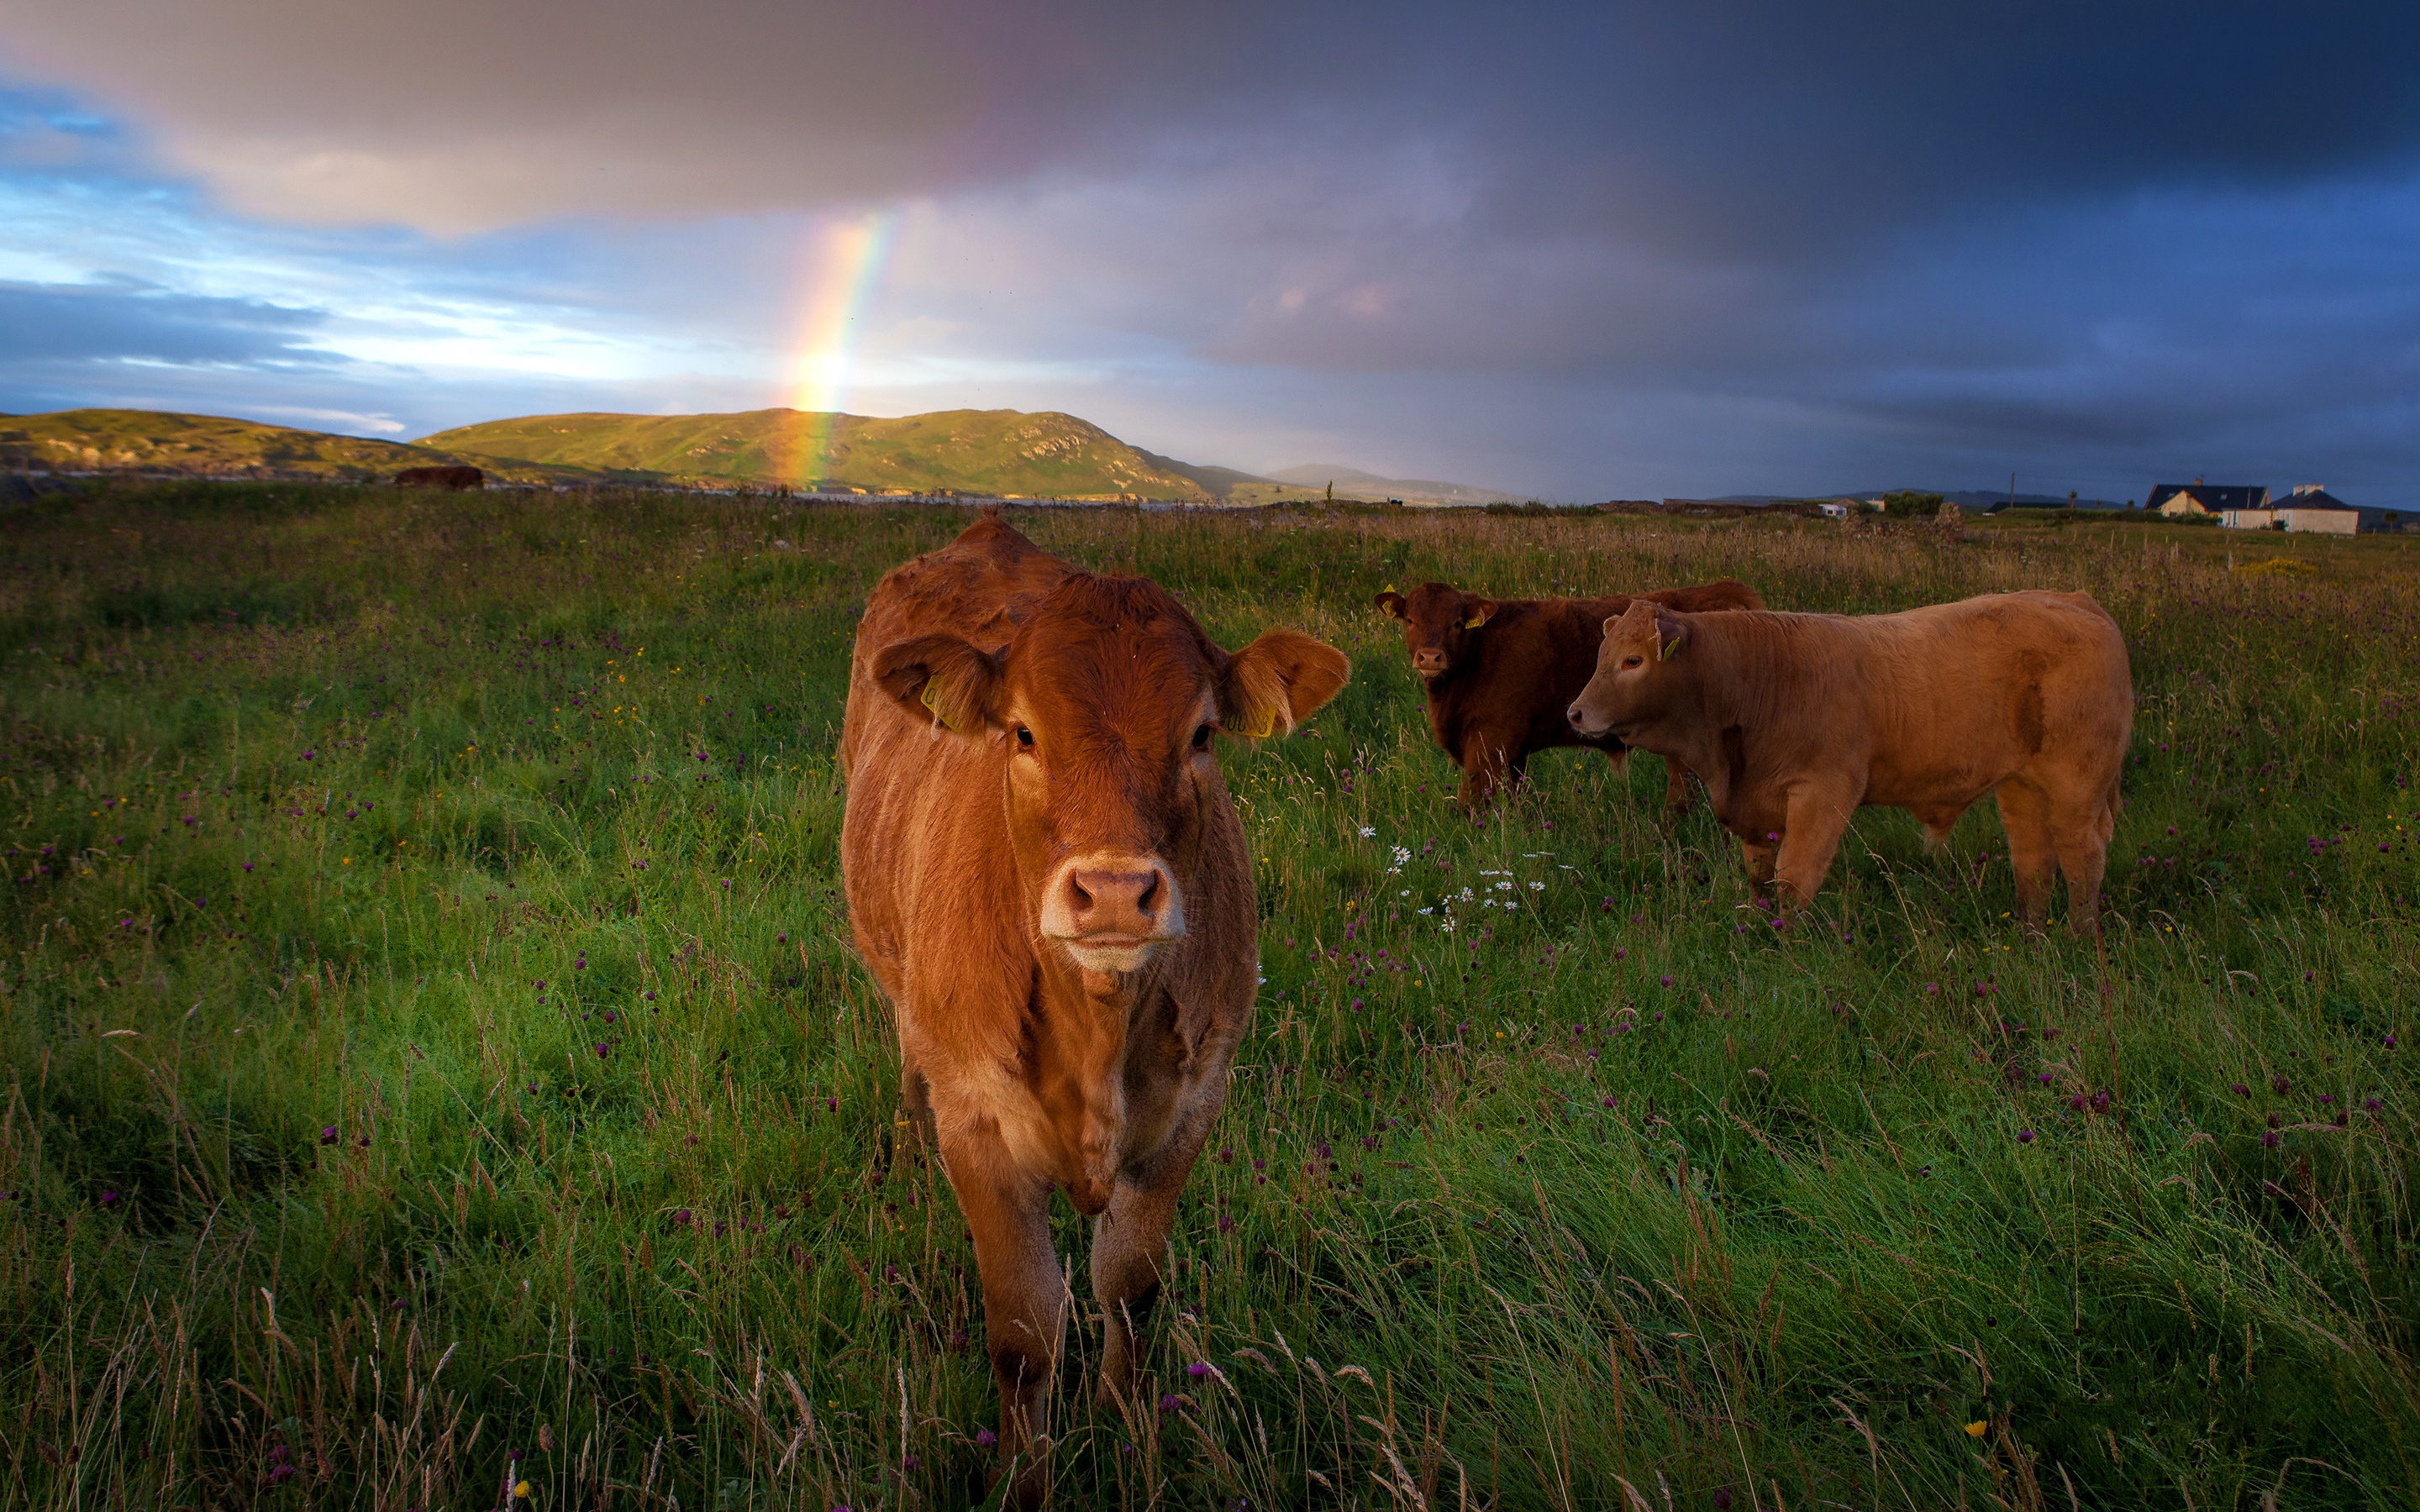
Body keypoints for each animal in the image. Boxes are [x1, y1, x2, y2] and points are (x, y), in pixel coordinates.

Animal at [839, 512, 1348, 1500]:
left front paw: (1125, 1428)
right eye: (1022, 734)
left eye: (1201, 736)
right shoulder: (979, 1124)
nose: (1114, 892)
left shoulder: (1192, 1107)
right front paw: (1025, 1480)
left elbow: (1131, 1288)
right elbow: (1025, 1335)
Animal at [1372, 579, 1765, 814]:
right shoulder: (1512, 753)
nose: (1430, 658)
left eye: (1456, 623)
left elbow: (1471, 803)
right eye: (1410, 620)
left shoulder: (1488, 743)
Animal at [1566, 591, 2131, 934]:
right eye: (1599, 657)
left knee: (2083, 859)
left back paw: (2078, 939)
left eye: (1633, 660)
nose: (1574, 712)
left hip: (2077, 786)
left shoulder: (1822, 791)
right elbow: (1758, 877)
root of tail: (2076, 600)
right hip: (2021, 785)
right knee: (2033, 860)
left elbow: (1793, 879)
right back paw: (2031, 935)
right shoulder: (1755, 807)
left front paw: (1785, 947)